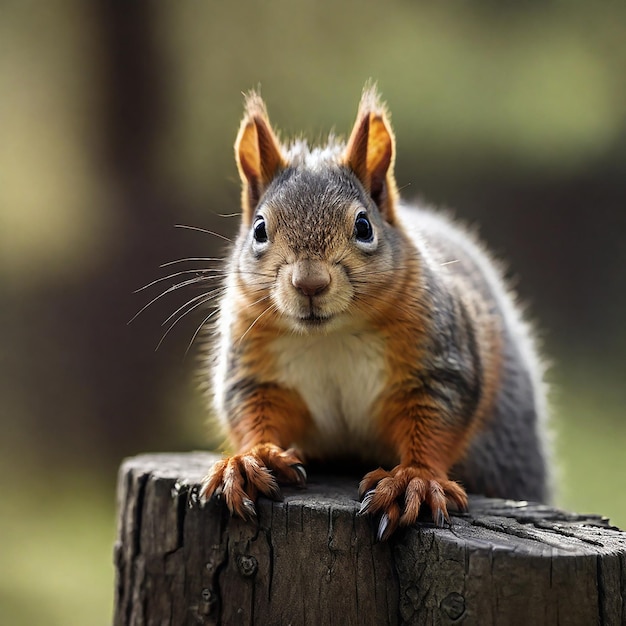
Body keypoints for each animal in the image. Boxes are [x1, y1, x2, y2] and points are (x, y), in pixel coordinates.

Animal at [197, 85, 548, 540]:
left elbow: (435, 421)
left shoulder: (439, 364)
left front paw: (414, 480)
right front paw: (250, 460)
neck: (329, 337)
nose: (309, 283)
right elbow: (252, 410)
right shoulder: (255, 368)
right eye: (259, 229)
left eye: (364, 226)